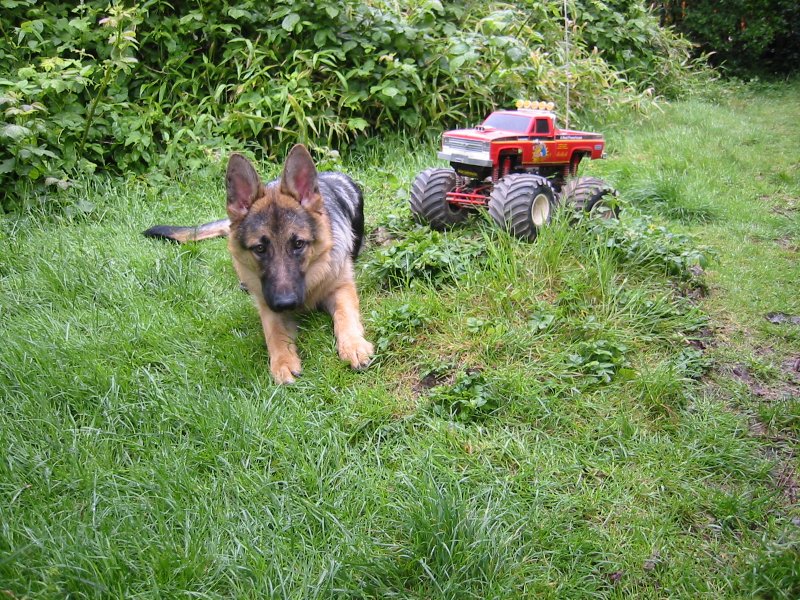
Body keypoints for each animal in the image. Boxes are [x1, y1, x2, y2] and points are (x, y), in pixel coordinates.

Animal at [143, 144, 374, 384]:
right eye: (260, 248)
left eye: (298, 244)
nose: (285, 303)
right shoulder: (267, 304)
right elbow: (274, 333)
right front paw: (283, 362)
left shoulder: (341, 287)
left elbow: (345, 315)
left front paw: (353, 345)